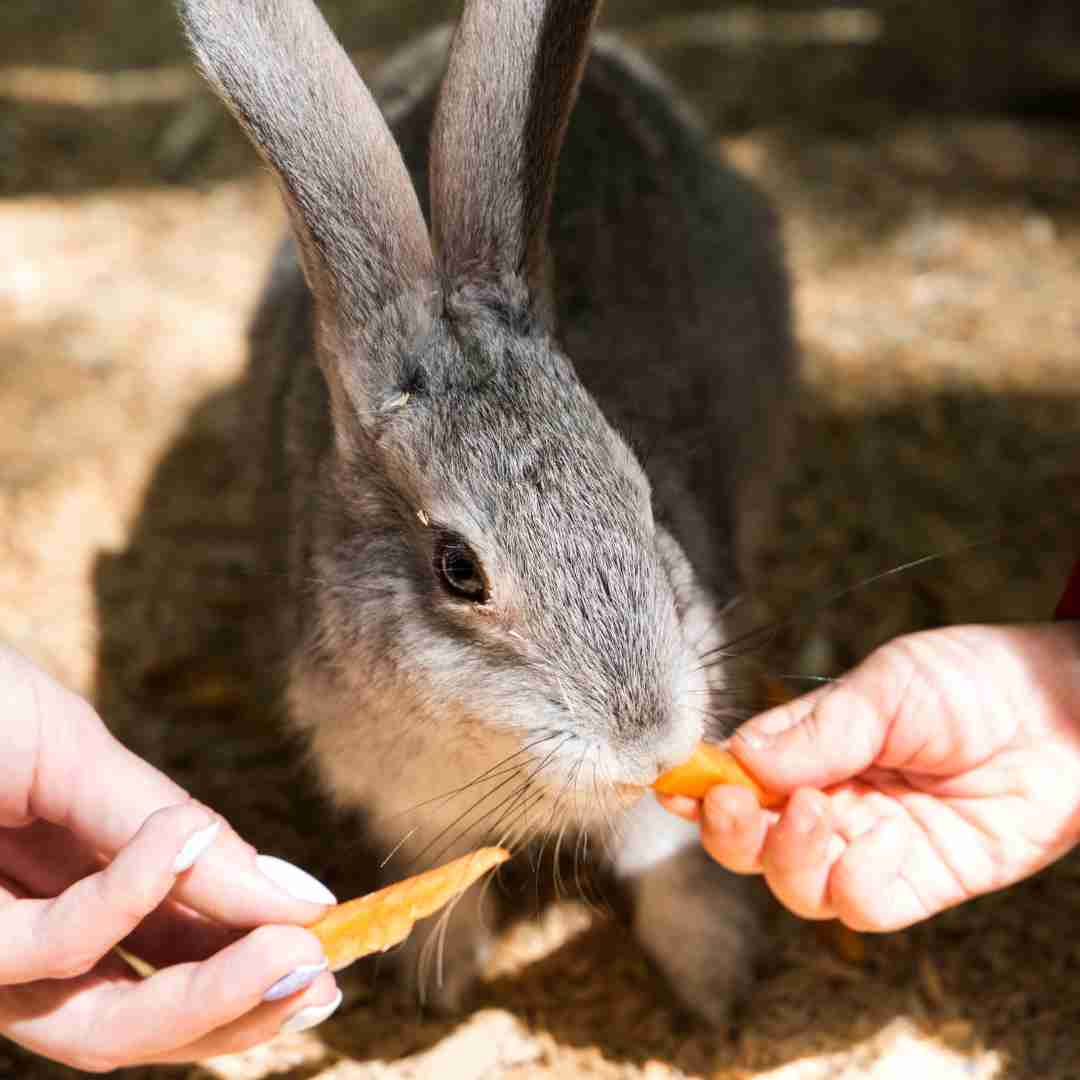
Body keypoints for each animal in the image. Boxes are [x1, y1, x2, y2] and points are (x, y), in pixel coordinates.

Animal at [179, 0, 794, 1023]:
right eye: (459, 569)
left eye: (643, 496)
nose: (649, 739)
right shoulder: (404, 804)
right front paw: (445, 983)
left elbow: (669, 862)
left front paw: (712, 986)